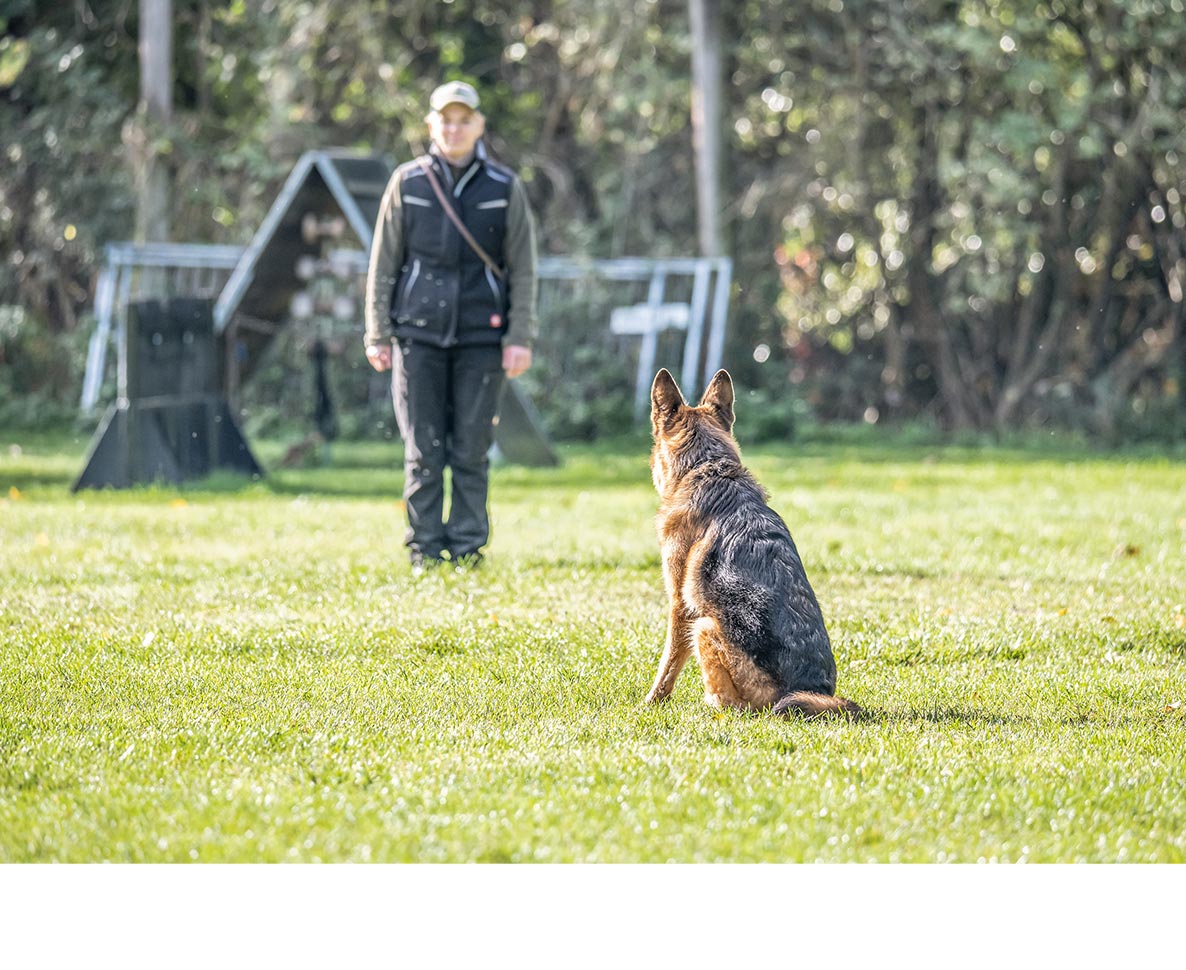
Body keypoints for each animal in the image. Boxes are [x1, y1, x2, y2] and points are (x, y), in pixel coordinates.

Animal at [649, 367, 863, 716]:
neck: (708, 468)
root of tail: (809, 689)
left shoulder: (681, 607)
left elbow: (667, 666)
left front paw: (651, 701)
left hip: (706, 627)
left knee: (734, 705)